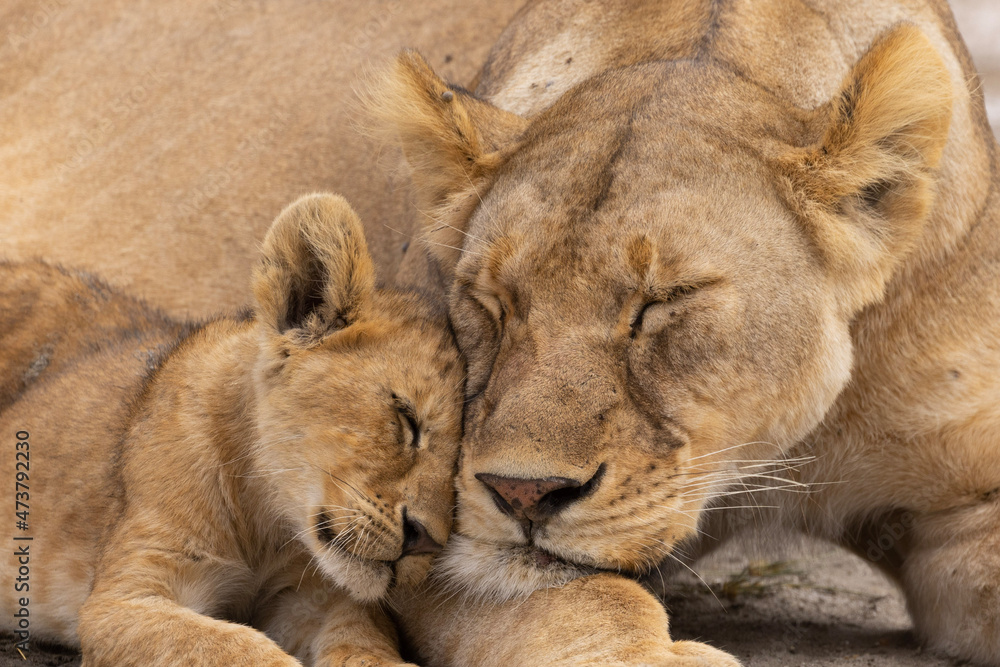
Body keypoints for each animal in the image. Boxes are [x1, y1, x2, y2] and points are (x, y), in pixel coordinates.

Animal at [0, 194, 465, 666]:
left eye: (459, 461)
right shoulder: (123, 597)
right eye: (405, 417)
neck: (264, 517)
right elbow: (228, 644)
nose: (427, 541)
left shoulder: (305, 597)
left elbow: (360, 633)